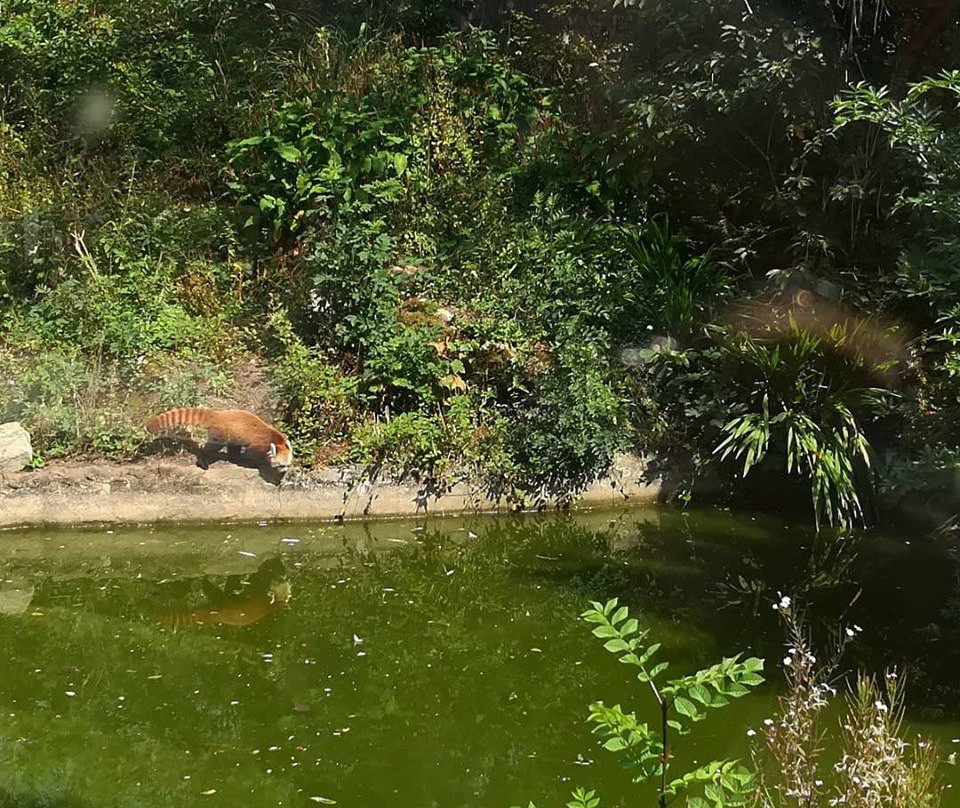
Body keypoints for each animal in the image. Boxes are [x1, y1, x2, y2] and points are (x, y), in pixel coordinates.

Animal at [146, 410, 292, 468]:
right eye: (281, 465)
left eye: (288, 465)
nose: (284, 471)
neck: (275, 440)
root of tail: (217, 414)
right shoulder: (259, 444)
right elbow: (251, 455)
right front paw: (259, 463)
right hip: (221, 434)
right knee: (211, 447)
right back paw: (203, 461)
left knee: (233, 447)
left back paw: (235, 458)